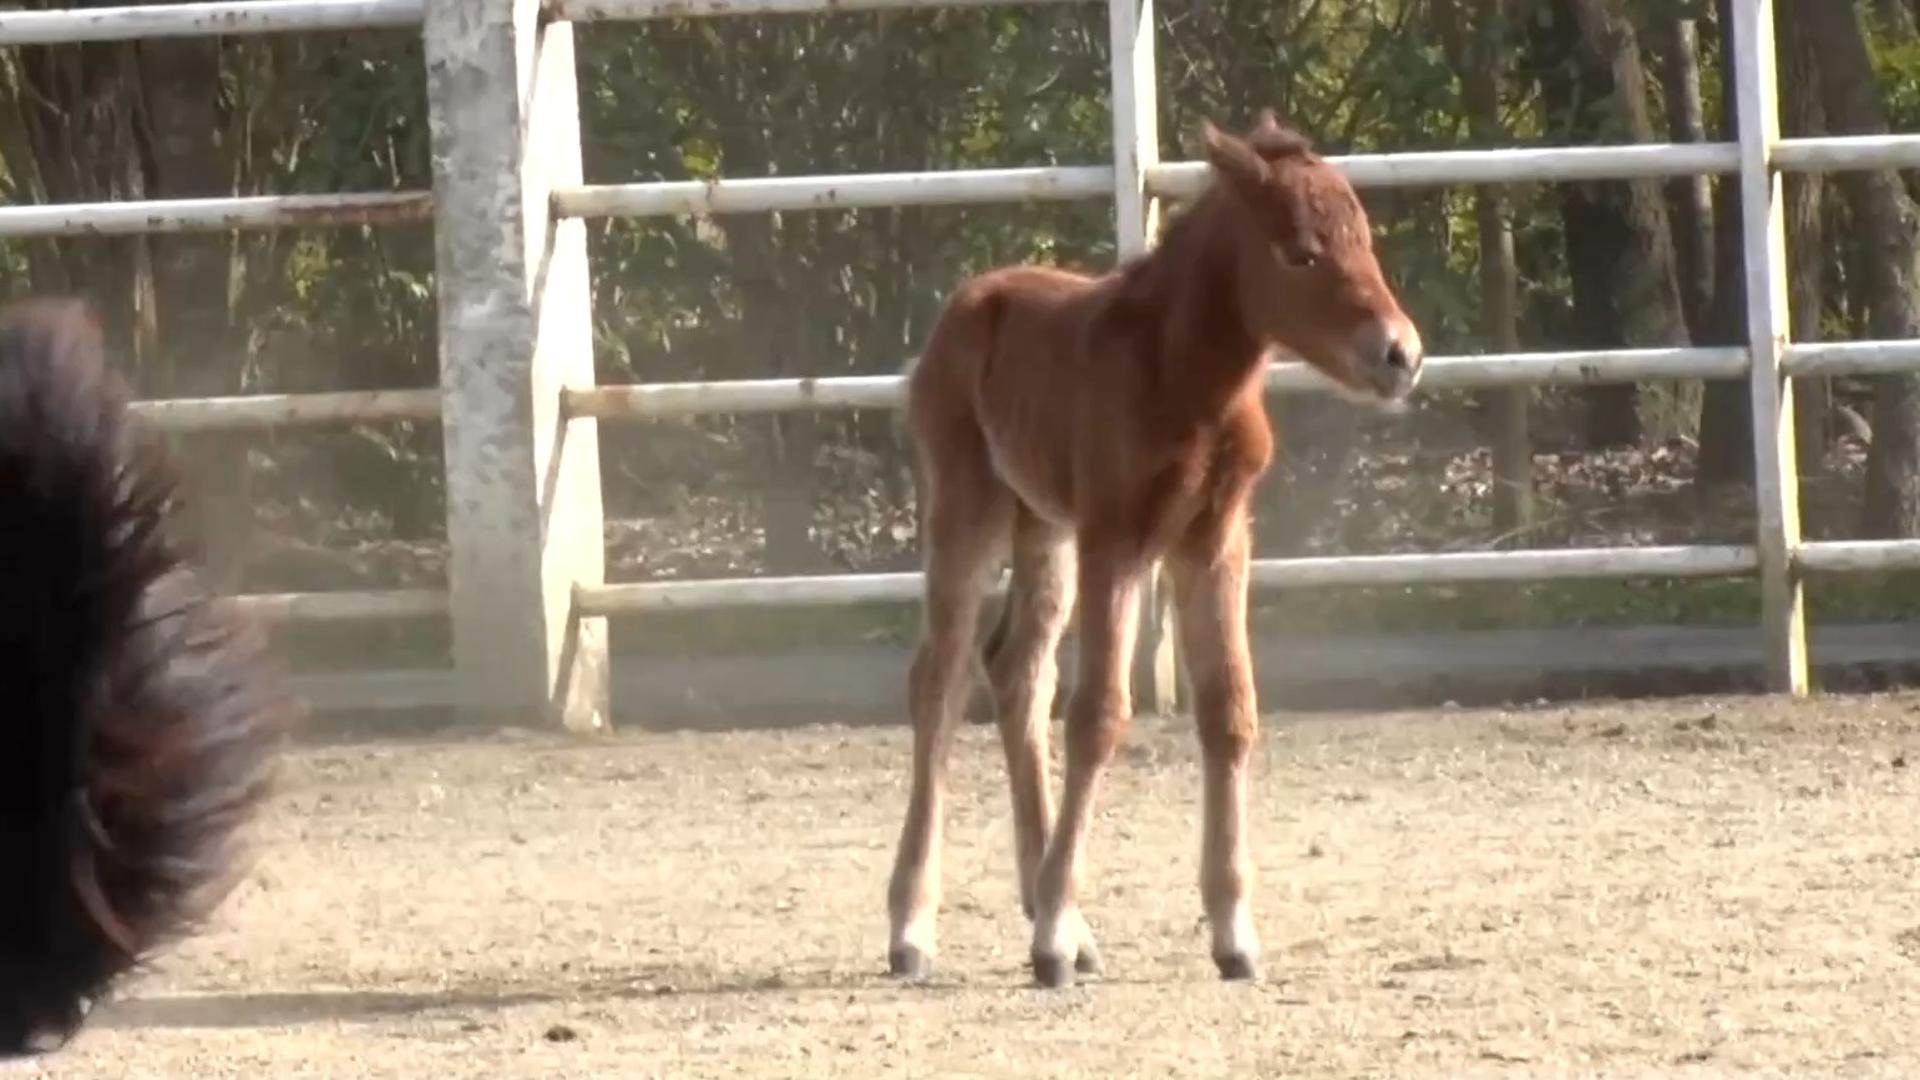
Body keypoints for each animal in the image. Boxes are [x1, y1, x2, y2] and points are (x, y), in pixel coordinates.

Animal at [887, 109, 1428, 983]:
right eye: (1300, 251)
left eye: (1365, 238)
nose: (1400, 355)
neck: (1186, 382)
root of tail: (968, 300)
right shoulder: (1118, 540)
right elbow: (1100, 714)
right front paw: (1050, 942)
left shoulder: (1214, 543)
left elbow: (1229, 710)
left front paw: (1233, 935)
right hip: (968, 511)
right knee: (939, 680)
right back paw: (914, 929)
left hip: (1046, 530)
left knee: (1017, 672)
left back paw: (1061, 918)